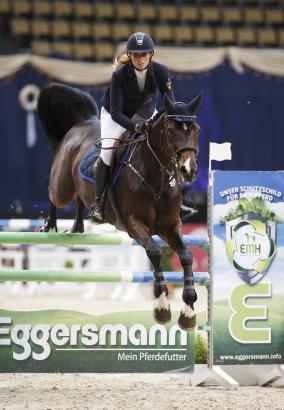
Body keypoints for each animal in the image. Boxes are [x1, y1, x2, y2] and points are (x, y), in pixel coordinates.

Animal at [37, 83, 202, 330]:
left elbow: (187, 256)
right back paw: (49, 226)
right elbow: (154, 252)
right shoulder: (134, 224)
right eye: (171, 130)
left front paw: (188, 311)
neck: (156, 178)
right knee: (53, 194)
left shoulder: (170, 226)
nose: (188, 170)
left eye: (195, 129)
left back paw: (78, 227)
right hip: (62, 186)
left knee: (81, 199)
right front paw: (162, 306)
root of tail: (83, 122)